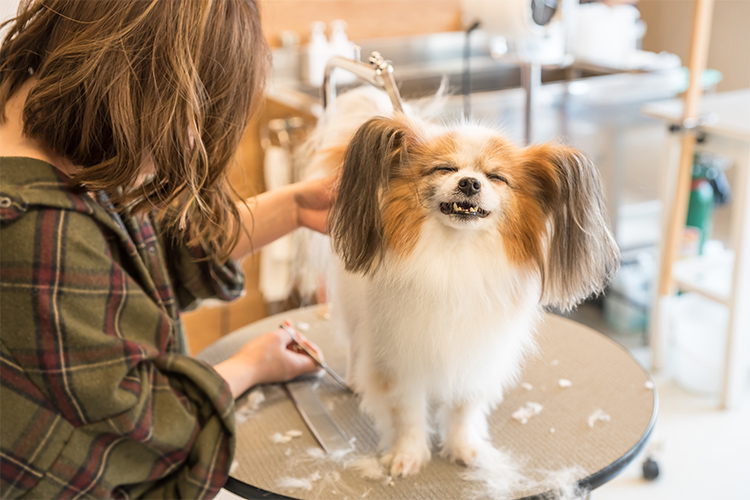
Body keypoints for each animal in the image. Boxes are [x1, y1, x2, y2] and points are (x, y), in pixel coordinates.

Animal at [302, 86, 620, 476]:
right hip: (353, 310)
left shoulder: (474, 351)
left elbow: (464, 408)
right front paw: (408, 455)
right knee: (354, 343)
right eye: (445, 168)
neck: (457, 253)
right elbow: (406, 412)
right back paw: (354, 378)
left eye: (496, 177)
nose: (469, 182)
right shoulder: (399, 356)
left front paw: (464, 448)